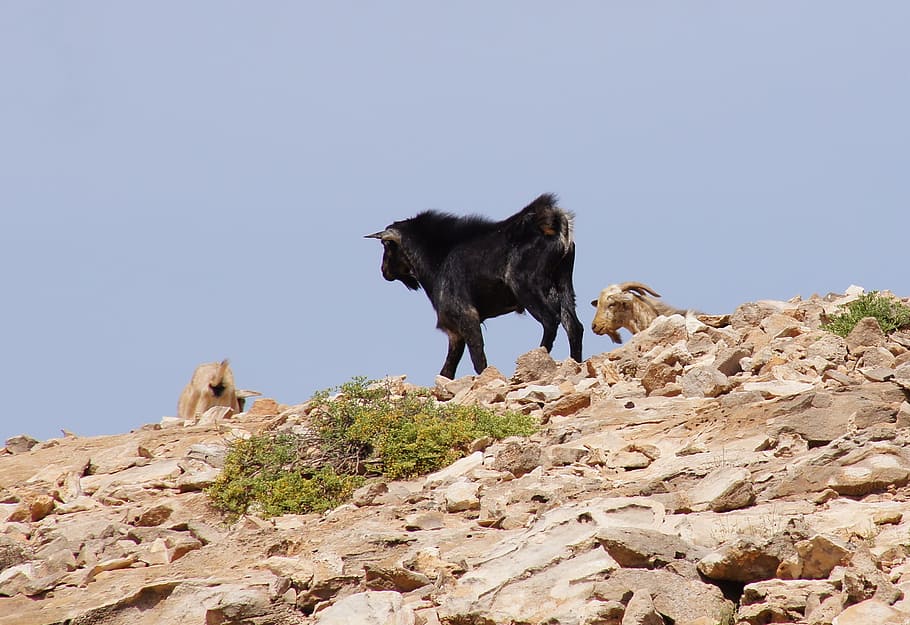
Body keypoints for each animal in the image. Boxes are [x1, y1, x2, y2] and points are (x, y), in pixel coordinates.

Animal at [366, 193, 584, 379]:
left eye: (386, 245)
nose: (384, 271)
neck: (439, 258)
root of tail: (554, 223)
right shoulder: (455, 331)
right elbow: (448, 370)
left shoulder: (465, 316)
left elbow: (477, 359)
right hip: (563, 283)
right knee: (573, 325)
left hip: (526, 286)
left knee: (550, 320)